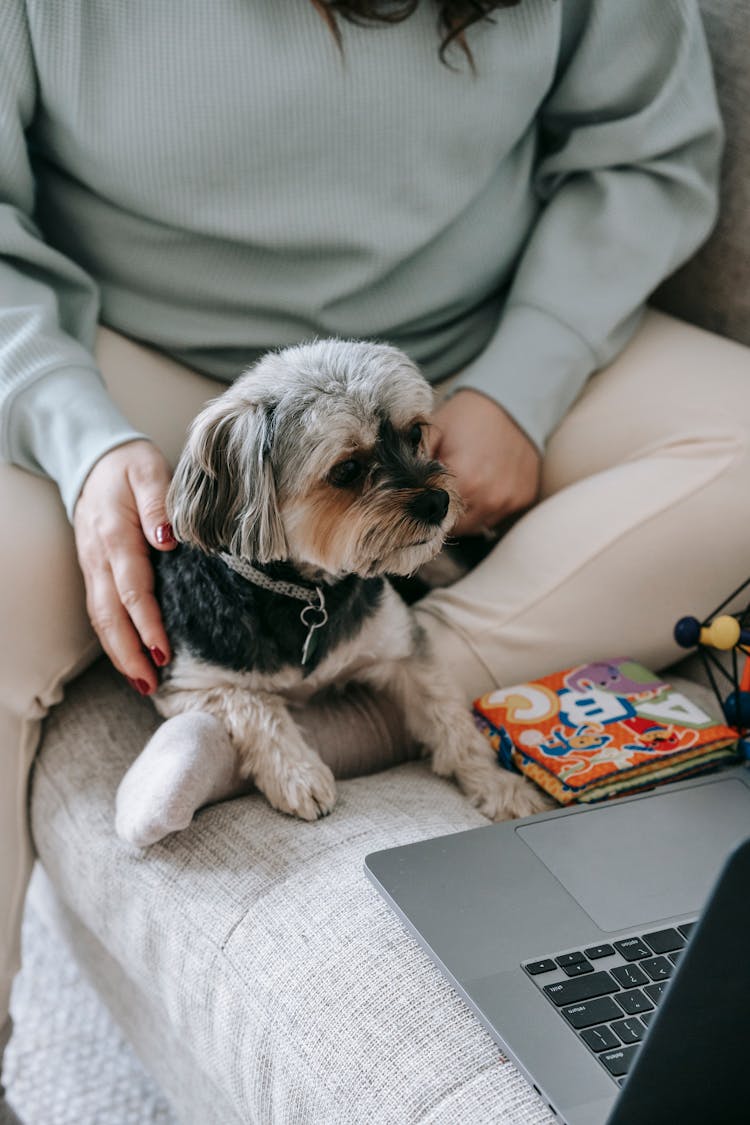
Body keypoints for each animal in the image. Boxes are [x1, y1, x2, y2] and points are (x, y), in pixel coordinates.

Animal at [134, 335, 548, 828]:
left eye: (415, 434)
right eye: (347, 470)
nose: (438, 502)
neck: (306, 592)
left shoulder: (402, 647)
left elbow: (447, 714)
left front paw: (498, 784)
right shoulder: (188, 682)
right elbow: (252, 704)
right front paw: (298, 774)